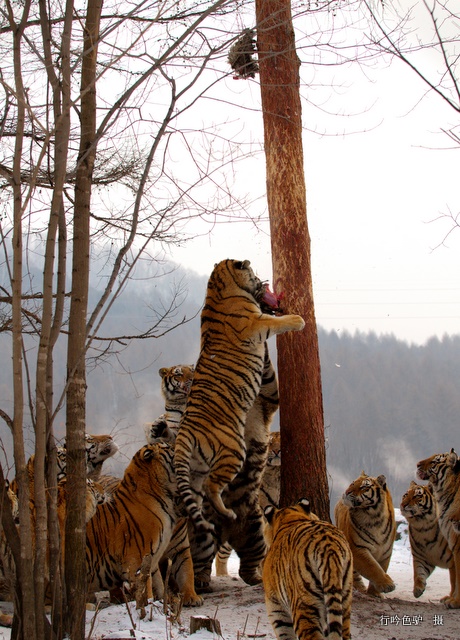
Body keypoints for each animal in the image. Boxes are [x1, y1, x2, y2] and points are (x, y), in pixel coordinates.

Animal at [85, 440, 179, 608]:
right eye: (168, 447)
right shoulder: (138, 561)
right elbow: (146, 590)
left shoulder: (153, 561)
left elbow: (160, 585)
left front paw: (164, 607)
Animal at [172, 258, 306, 532]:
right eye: (253, 273)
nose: (264, 282)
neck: (217, 287)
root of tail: (184, 433)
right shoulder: (257, 322)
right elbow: (277, 322)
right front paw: (298, 319)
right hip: (234, 451)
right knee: (213, 486)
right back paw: (228, 514)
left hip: (196, 469)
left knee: (198, 496)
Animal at [416, 448, 460, 608]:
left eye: (434, 461)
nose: (417, 464)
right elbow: (455, 578)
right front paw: (451, 599)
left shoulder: (457, 544)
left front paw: (455, 602)